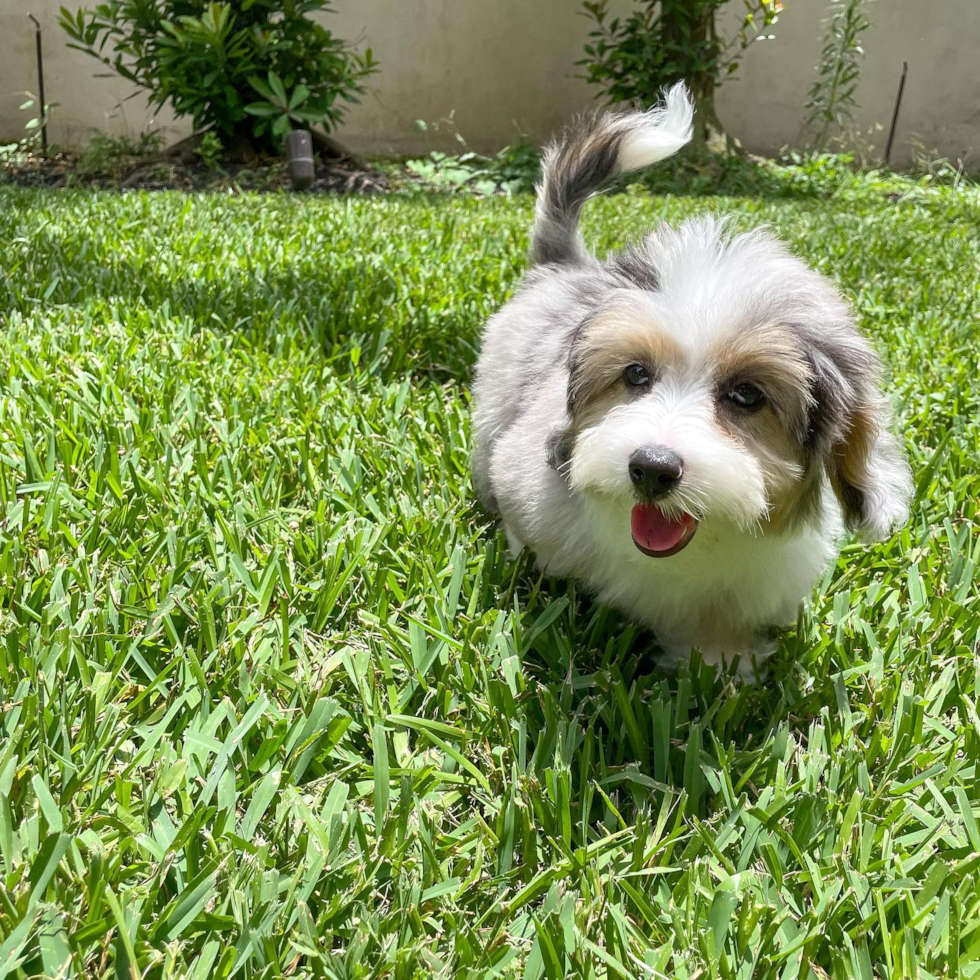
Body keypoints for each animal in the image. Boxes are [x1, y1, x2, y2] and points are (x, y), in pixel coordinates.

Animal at [470, 84, 916, 676]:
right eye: (635, 374)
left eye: (747, 395)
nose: (651, 468)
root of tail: (568, 266)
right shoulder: (526, 480)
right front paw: (526, 558)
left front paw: (722, 663)